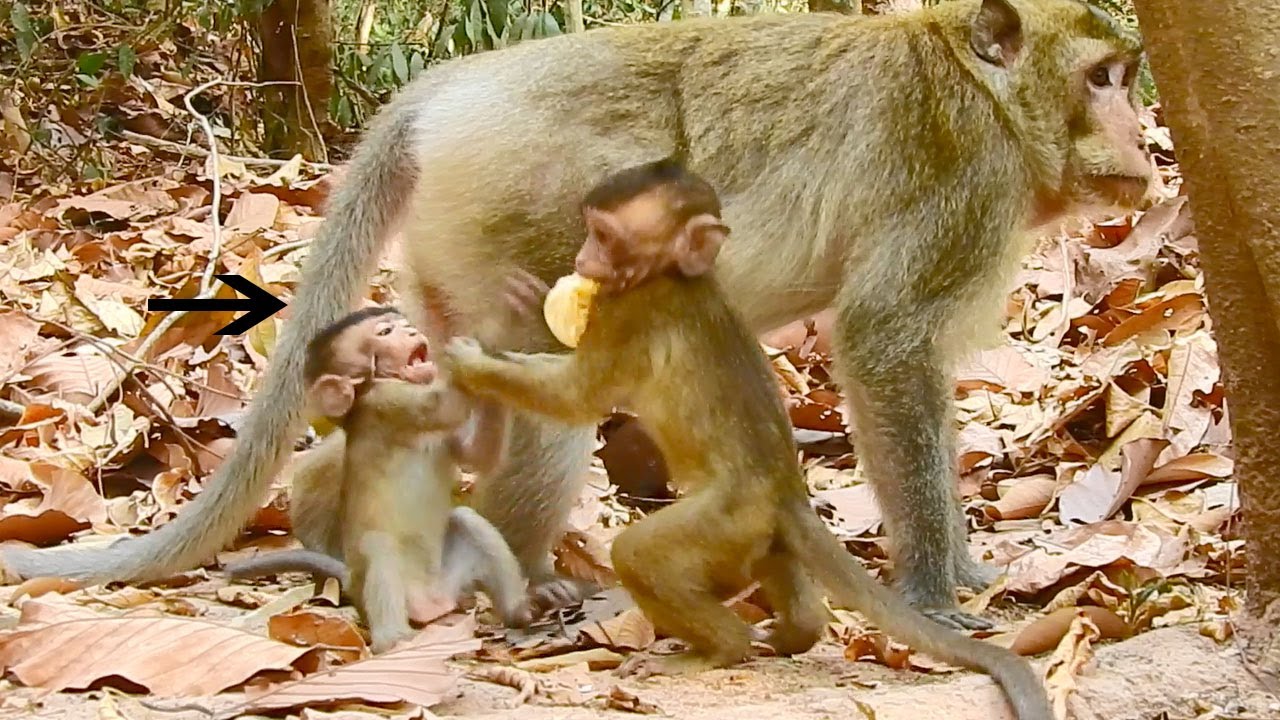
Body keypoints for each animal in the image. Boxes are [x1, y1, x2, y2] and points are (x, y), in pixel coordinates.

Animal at [240, 307, 533, 650]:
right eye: (385, 332)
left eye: (403, 323)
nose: (411, 330)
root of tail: (432, 602)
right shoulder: (385, 402)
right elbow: (443, 408)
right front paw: (487, 335)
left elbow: (479, 456)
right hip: (379, 584)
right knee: (378, 548)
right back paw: (393, 641)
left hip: (449, 579)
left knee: (466, 519)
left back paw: (522, 612)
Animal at [440, 158, 1052, 719]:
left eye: (605, 236)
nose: (582, 260)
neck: (674, 275)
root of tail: (787, 493)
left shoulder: (626, 312)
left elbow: (575, 398)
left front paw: (475, 356)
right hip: (763, 538)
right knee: (795, 602)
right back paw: (793, 633)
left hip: (726, 519)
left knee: (639, 553)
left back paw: (719, 648)